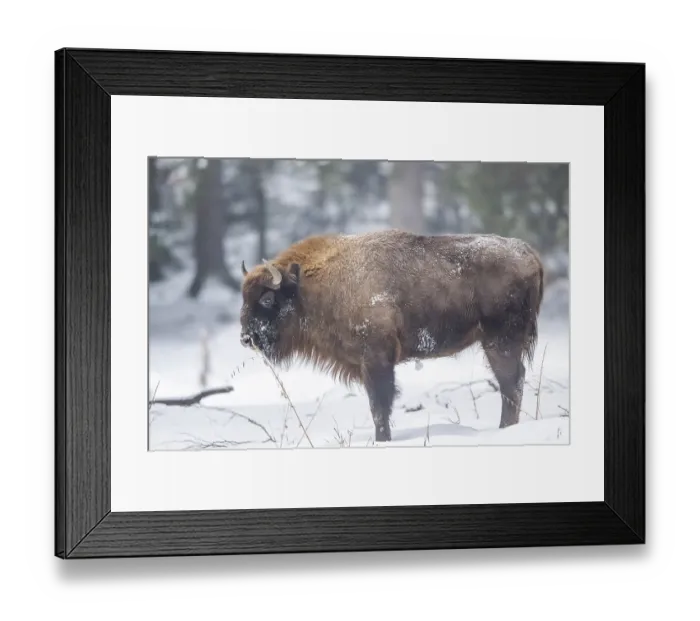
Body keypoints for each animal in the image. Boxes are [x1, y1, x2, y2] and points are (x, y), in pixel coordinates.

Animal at [239, 229, 544, 443]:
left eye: (267, 299)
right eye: (244, 298)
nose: (246, 338)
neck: (309, 287)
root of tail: (529, 253)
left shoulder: (376, 360)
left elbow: (379, 406)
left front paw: (382, 440)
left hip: (500, 341)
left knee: (510, 383)